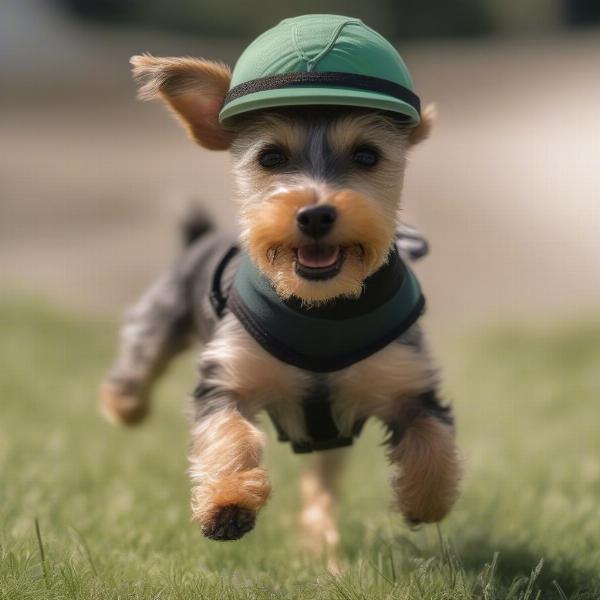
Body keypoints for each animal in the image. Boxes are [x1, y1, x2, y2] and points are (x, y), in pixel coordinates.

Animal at [101, 14, 462, 556]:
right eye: (270, 157)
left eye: (367, 156)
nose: (314, 214)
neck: (322, 306)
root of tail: (200, 236)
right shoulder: (226, 376)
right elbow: (229, 433)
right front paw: (228, 505)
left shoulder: (407, 378)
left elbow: (433, 436)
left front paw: (423, 500)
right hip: (160, 313)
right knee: (139, 361)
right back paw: (123, 405)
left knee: (323, 476)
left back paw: (319, 536)